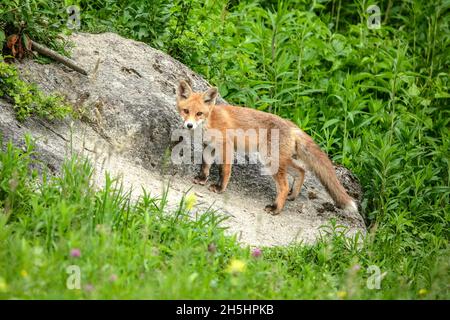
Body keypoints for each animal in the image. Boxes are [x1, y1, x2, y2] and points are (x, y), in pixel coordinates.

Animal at [176, 80, 356, 215]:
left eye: (199, 113)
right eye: (185, 110)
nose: (189, 125)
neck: (210, 122)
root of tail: (292, 125)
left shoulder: (227, 147)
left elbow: (224, 171)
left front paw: (220, 188)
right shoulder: (208, 146)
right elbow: (205, 165)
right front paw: (201, 179)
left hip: (269, 160)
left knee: (284, 186)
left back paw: (276, 208)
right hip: (279, 160)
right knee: (301, 171)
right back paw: (293, 195)